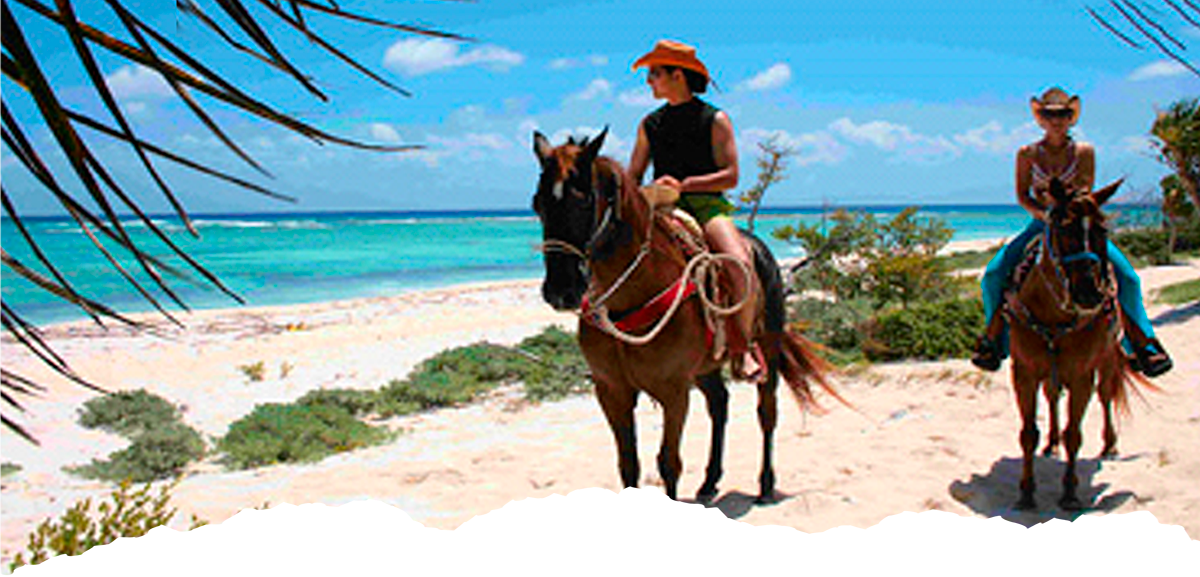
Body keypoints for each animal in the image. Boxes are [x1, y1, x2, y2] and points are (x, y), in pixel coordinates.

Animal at [530, 127, 845, 504]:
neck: (631, 299)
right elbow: (628, 464)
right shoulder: (611, 391)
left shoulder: (674, 390)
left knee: (766, 413)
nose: (560, 291)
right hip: (705, 369)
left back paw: (766, 485)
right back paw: (710, 482)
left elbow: (668, 463)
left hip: (767, 348)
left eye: (583, 200)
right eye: (537, 204)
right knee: (719, 405)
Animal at [1002, 176, 1155, 511]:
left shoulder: (1082, 374)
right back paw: (1051, 444)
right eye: (1063, 229)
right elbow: (1027, 434)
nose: (1089, 294)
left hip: (1108, 360)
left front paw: (1070, 493)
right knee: (1052, 398)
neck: (1054, 315)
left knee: (1106, 395)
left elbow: (1075, 434)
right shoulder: (1025, 372)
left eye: (1103, 230)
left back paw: (1110, 445)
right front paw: (1026, 492)